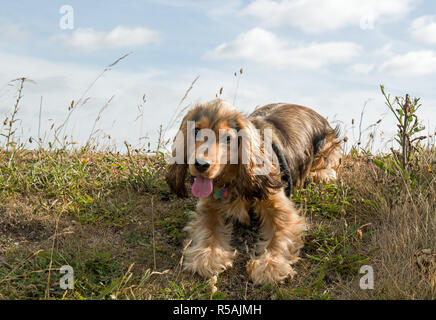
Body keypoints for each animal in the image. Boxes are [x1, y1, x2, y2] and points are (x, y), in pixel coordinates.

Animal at [166, 99, 340, 284]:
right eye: (196, 131)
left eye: (228, 138)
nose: (200, 165)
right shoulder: (209, 205)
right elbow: (208, 228)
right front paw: (207, 256)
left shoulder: (281, 207)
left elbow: (279, 236)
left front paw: (270, 265)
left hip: (326, 147)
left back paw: (322, 174)